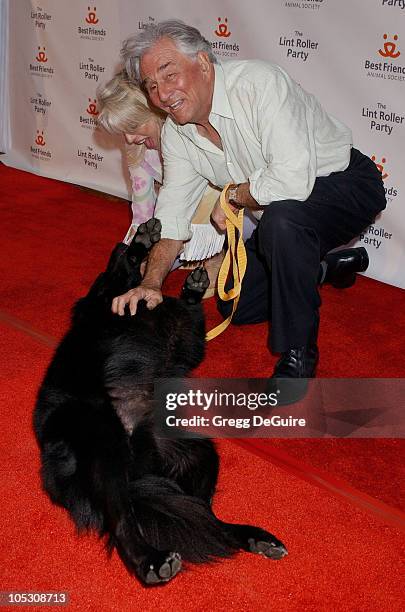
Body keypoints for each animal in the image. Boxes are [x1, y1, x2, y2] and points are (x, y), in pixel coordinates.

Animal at [34, 219, 288, 584]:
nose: (122, 241)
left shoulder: (179, 337)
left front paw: (191, 287)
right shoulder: (106, 298)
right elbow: (119, 273)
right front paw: (140, 243)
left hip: (193, 453)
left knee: (205, 514)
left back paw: (253, 537)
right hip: (105, 445)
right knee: (122, 519)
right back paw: (150, 562)